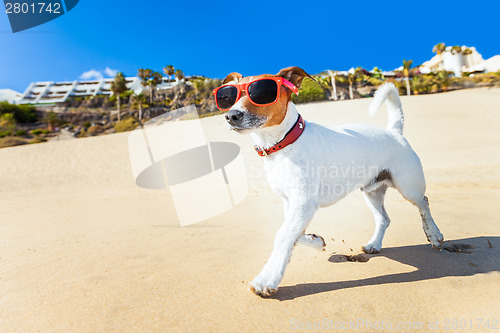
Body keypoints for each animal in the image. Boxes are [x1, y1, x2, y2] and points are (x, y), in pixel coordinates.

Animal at [213, 66, 444, 294]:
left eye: (260, 93)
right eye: (229, 97)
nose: (231, 116)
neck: (283, 143)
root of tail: (394, 131)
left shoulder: (304, 202)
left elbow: (283, 235)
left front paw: (267, 278)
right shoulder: (292, 202)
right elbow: (294, 233)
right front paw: (316, 242)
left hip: (408, 186)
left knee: (424, 203)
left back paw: (434, 234)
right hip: (372, 191)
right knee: (384, 219)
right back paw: (374, 244)